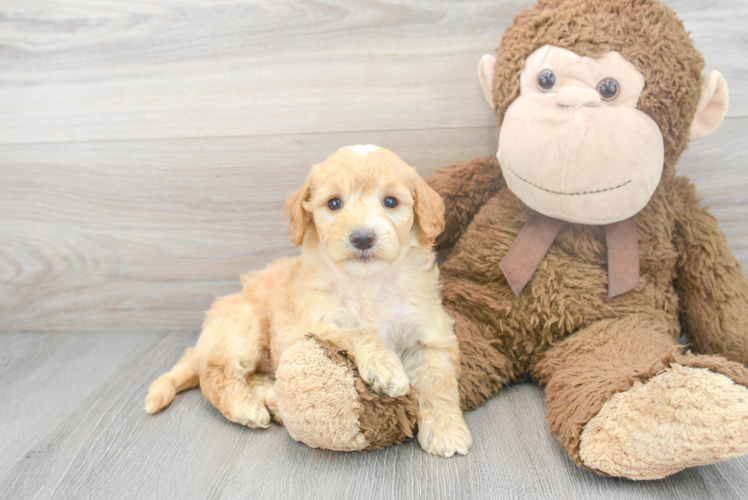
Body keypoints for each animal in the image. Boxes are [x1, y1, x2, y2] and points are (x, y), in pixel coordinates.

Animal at [145, 145, 474, 458]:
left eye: (390, 202)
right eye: (334, 203)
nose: (363, 238)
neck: (367, 283)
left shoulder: (429, 333)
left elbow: (440, 383)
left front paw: (446, 431)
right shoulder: (310, 325)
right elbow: (358, 332)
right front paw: (385, 366)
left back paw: (270, 397)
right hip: (243, 327)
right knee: (215, 374)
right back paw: (245, 407)